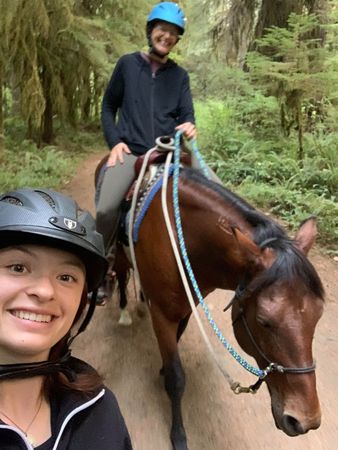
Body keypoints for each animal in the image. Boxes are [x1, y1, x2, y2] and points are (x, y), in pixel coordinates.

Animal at [104, 160, 324, 448]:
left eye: (318, 316)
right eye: (264, 321)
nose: (304, 420)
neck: (182, 238)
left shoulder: (187, 305)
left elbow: (176, 343)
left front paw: (162, 366)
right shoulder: (163, 314)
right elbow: (176, 378)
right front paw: (178, 435)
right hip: (119, 255)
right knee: (120, 275)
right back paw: (124, 312)